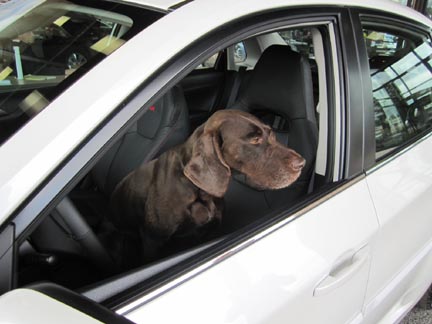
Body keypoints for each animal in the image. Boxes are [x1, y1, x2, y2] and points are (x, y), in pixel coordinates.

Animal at [111, 110, 308, 256]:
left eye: (272, 134)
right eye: (254, 140)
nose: (302, 163)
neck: (199, 191)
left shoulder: (211, 230)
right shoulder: (153, 240)